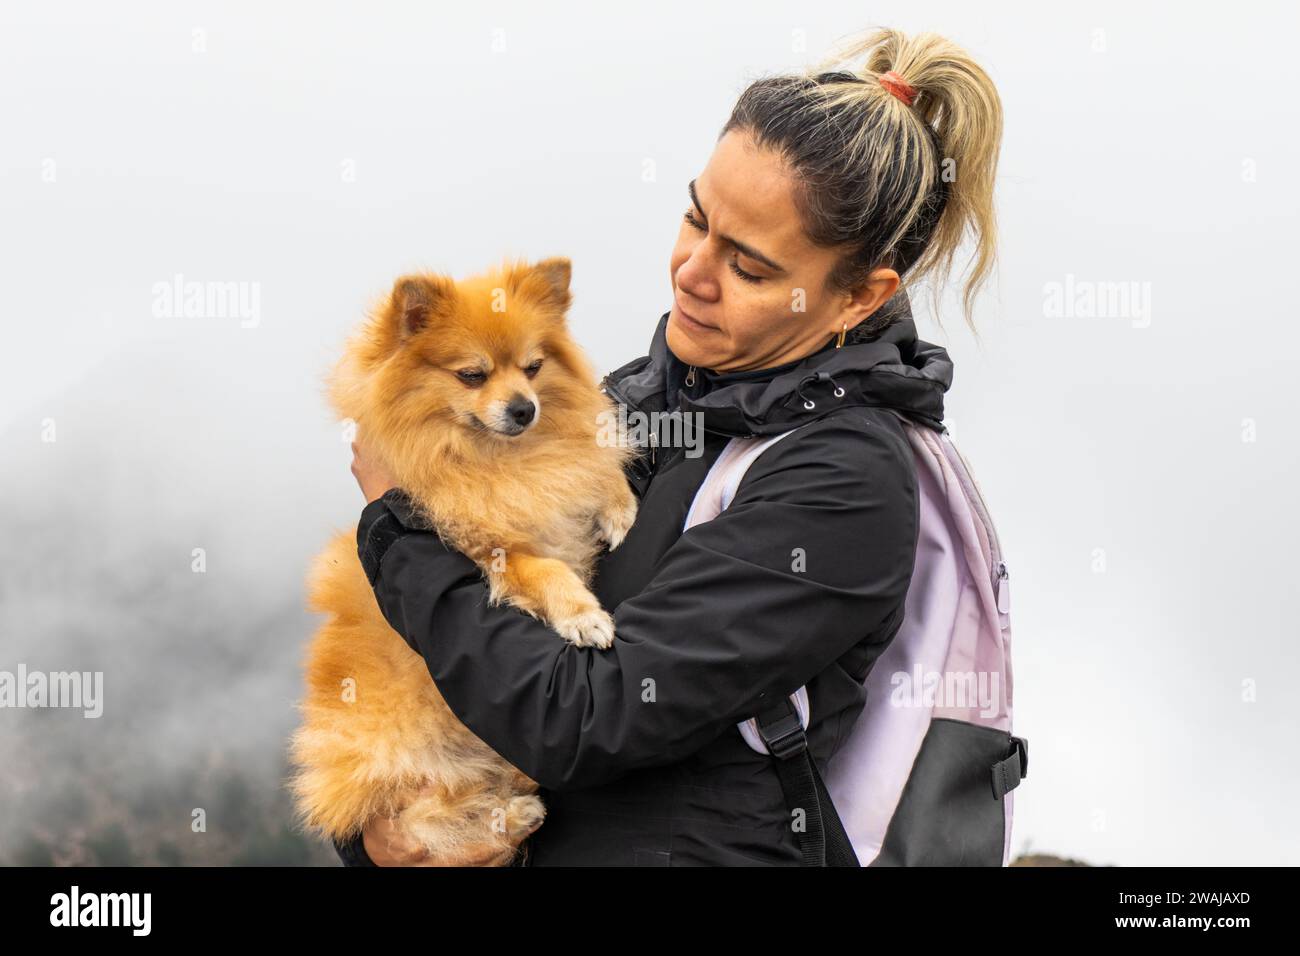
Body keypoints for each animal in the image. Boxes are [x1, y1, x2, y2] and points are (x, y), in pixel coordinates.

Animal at [292, 256, 642, 868]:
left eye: (532, 367)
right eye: (472, 376)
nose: (525, 408)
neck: (496, 461)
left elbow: (589, 466)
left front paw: (618, 505)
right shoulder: (492, 553)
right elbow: (547, 571)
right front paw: (583, 616)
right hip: (399, 769)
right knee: (423, 823)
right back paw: (508, 819)